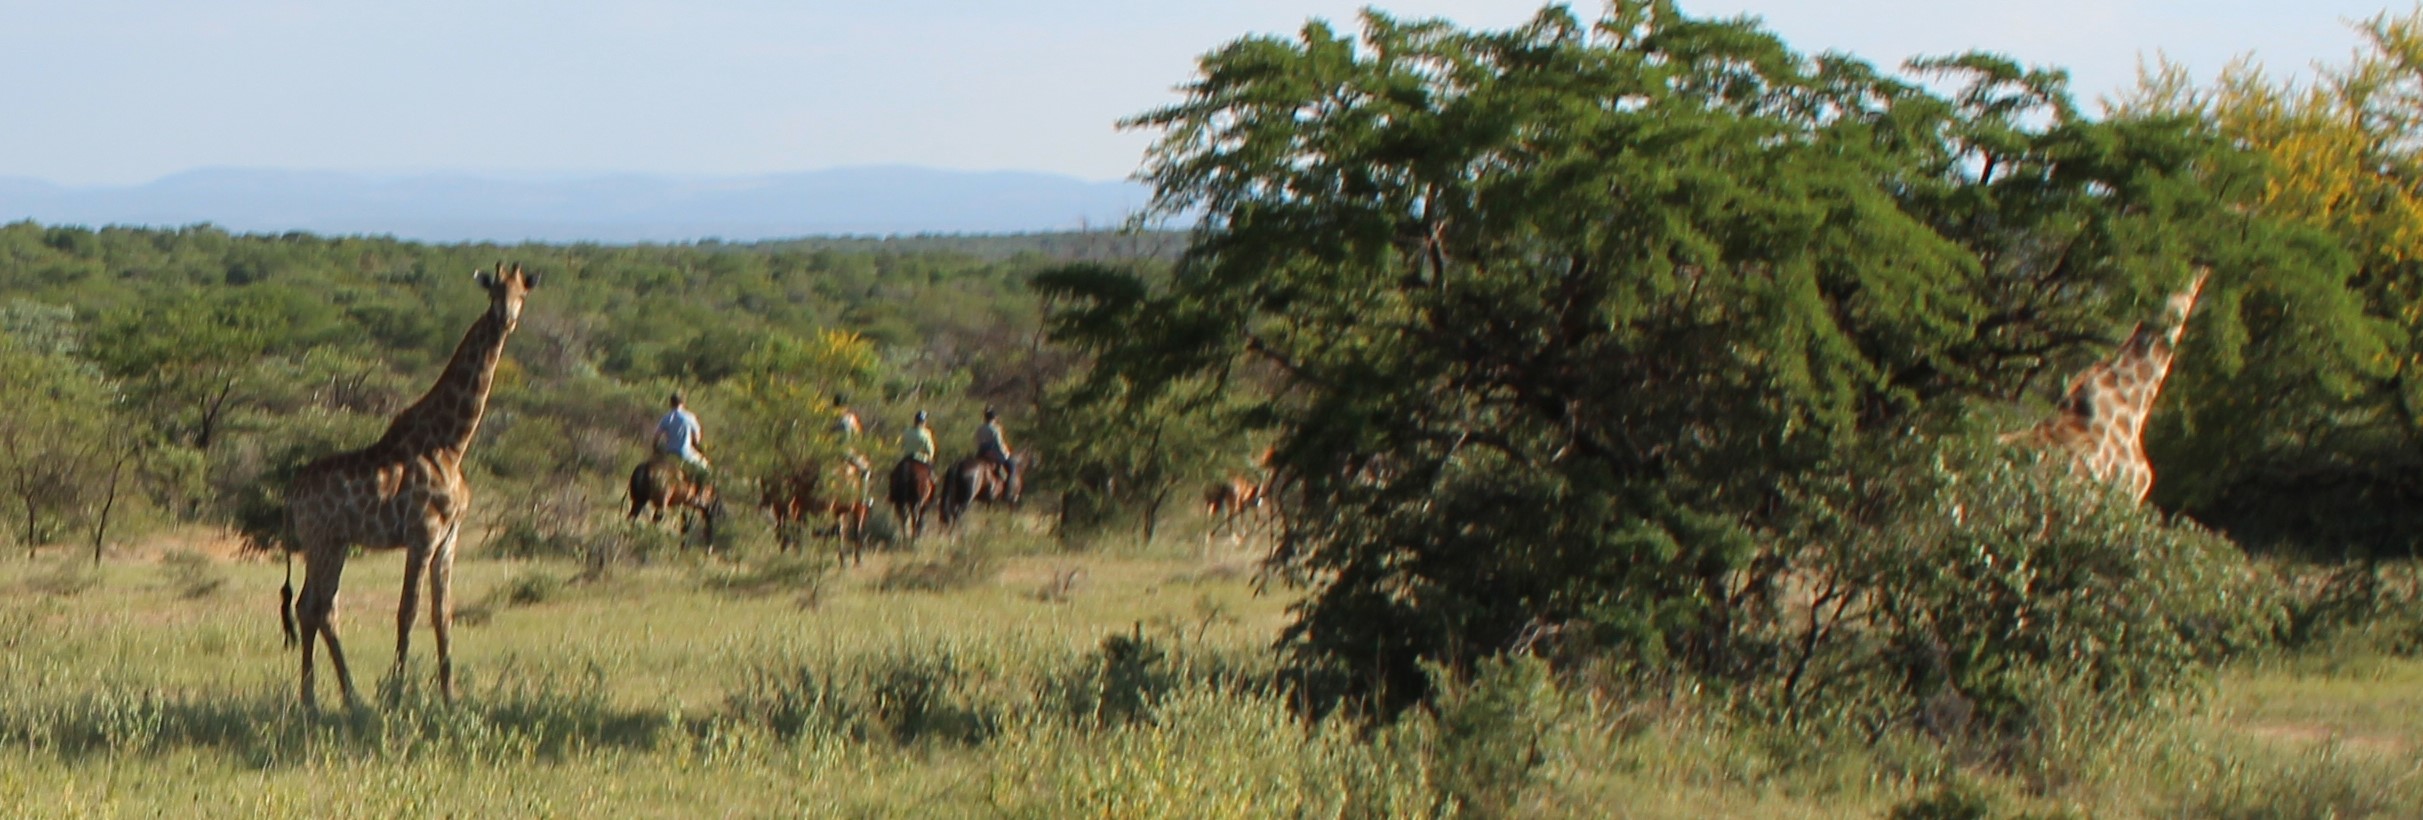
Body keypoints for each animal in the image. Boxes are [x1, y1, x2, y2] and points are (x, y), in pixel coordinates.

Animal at [281, 262, 537, 709]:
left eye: (522, 293)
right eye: (494, 293)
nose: (506, 319)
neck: (451, 443)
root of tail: (293, 493)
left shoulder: (449, 538)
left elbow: (442, 613)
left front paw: (450, 695)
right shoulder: (423, 534)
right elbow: (408, 611)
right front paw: (399, 693)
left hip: (334, 542)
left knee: (316, 605)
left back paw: (337, 697)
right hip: (322, 539)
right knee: (314, 606)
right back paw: (330, 699)